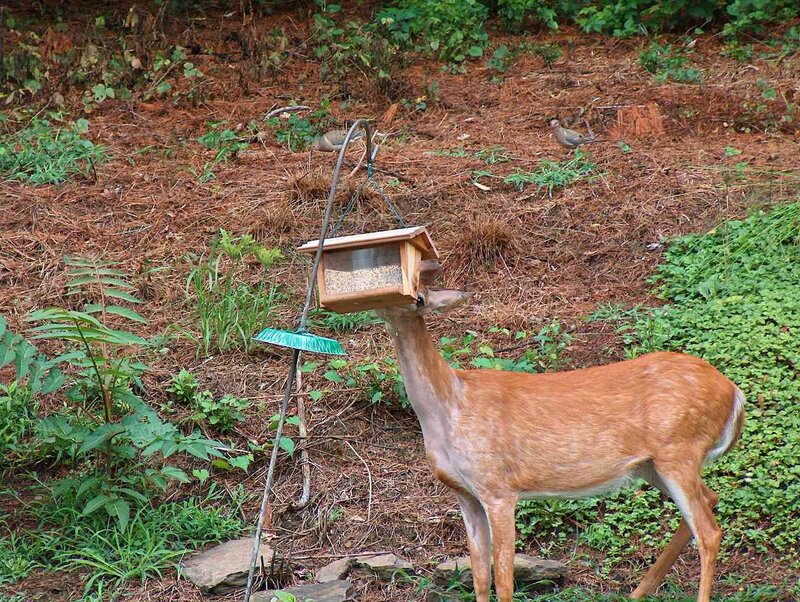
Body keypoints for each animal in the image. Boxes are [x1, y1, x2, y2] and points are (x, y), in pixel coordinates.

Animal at [375, 261, 745, 602]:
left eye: (420, 296)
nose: (395, 299)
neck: (451, 408)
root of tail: (733, 392)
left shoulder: (498, 487)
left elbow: (503, 583)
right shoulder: (465, 494)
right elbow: (480, 578)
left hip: (679, 450)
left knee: (709, 532)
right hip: (652, 465)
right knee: (709, 501)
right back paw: (638, 591)